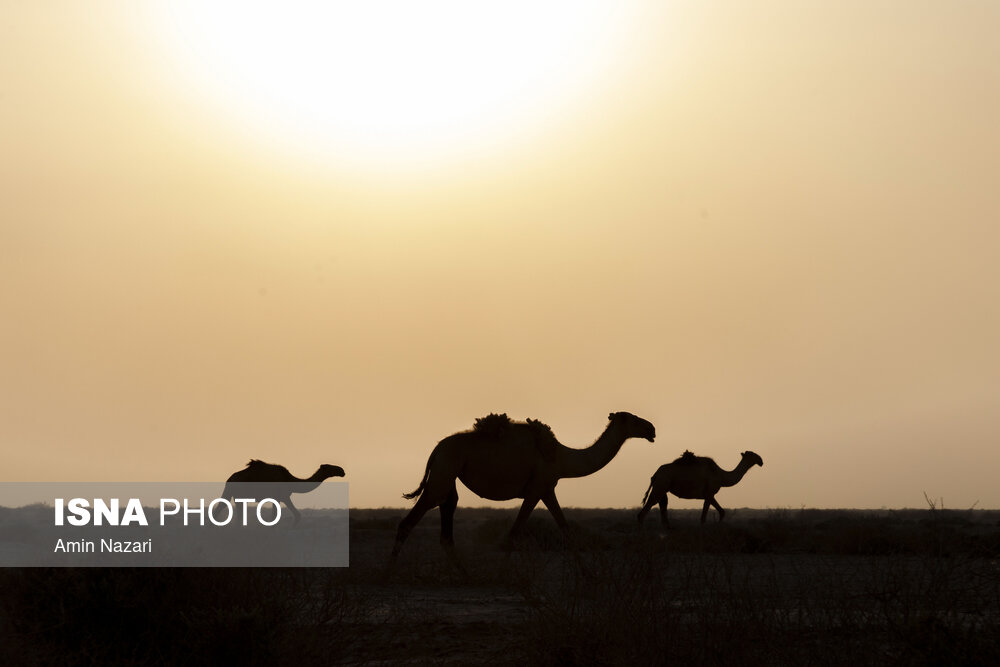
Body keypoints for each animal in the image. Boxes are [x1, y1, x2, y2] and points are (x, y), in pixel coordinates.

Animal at [390, 412, 656, 564]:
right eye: (634, 419)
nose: (651, 429)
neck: (561, 457)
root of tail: (436, 449)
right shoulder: (536, 489)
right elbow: (515, 532)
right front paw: (503, 574)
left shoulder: (548, 489)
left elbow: (566, 529)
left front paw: (586, 575)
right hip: (444, 470)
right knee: (410, 521)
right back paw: (389, 572)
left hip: (448, 474)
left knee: (447, 520)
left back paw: (464, 574)